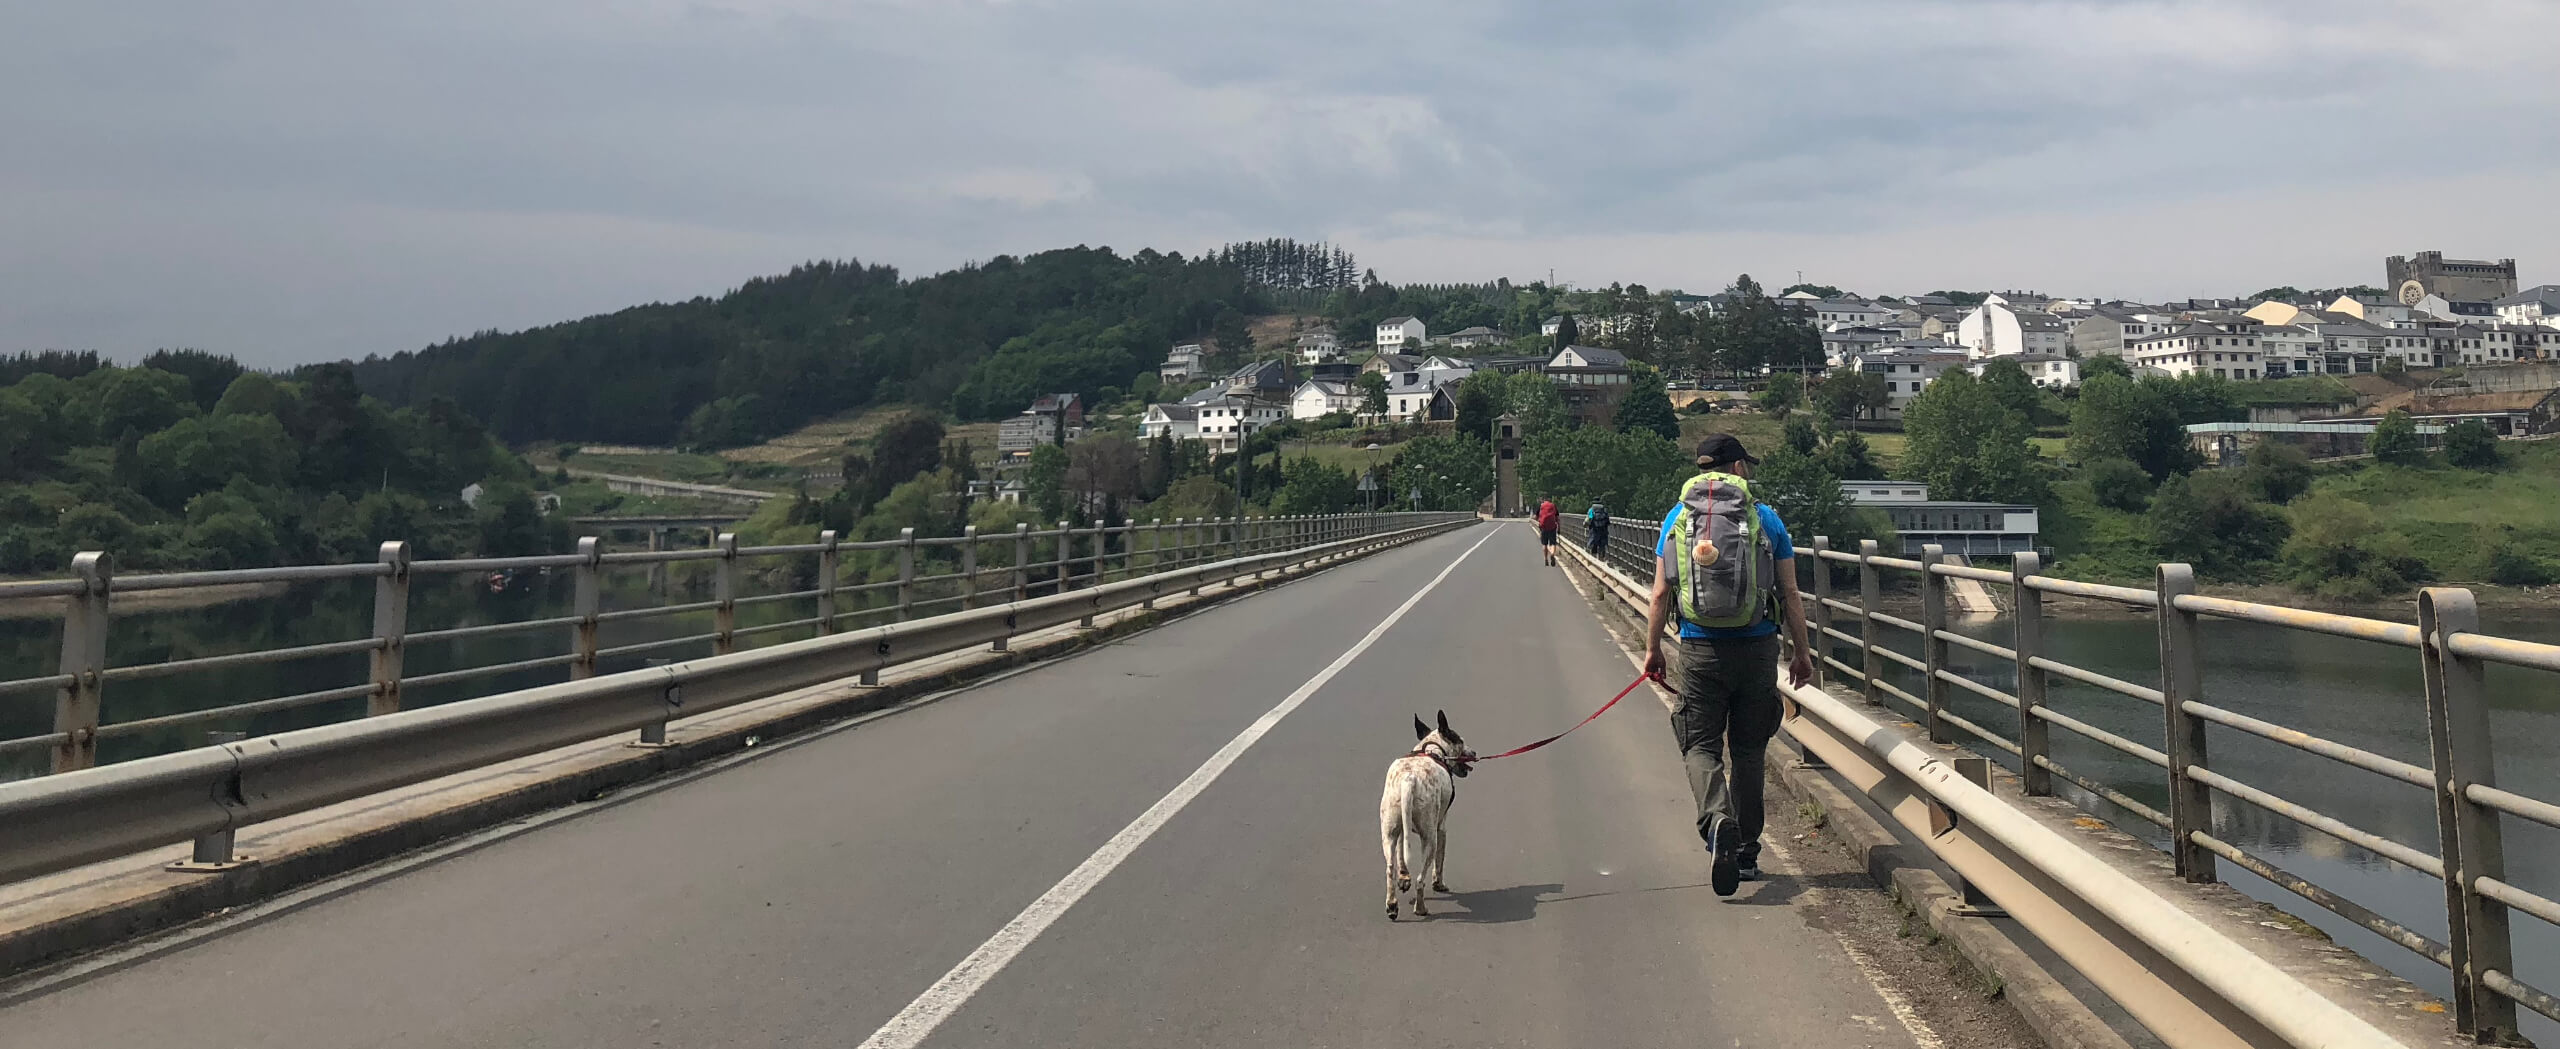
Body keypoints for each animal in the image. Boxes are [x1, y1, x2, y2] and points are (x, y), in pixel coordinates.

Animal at [1382, 711, 1484, 921]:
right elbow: (1440, 862)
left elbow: (1401, 857)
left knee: (1390, 868)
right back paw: (1420, 909)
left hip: (1388, 831)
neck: (1431, 750)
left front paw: (1404, 877)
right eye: (1460, 740)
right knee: (1421, 879)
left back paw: (1392, 905)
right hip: (1430, 838)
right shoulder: (1441, 828)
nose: (1474, 752)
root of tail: (1409, 779)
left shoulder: (1400, 831)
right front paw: (1439, 884)